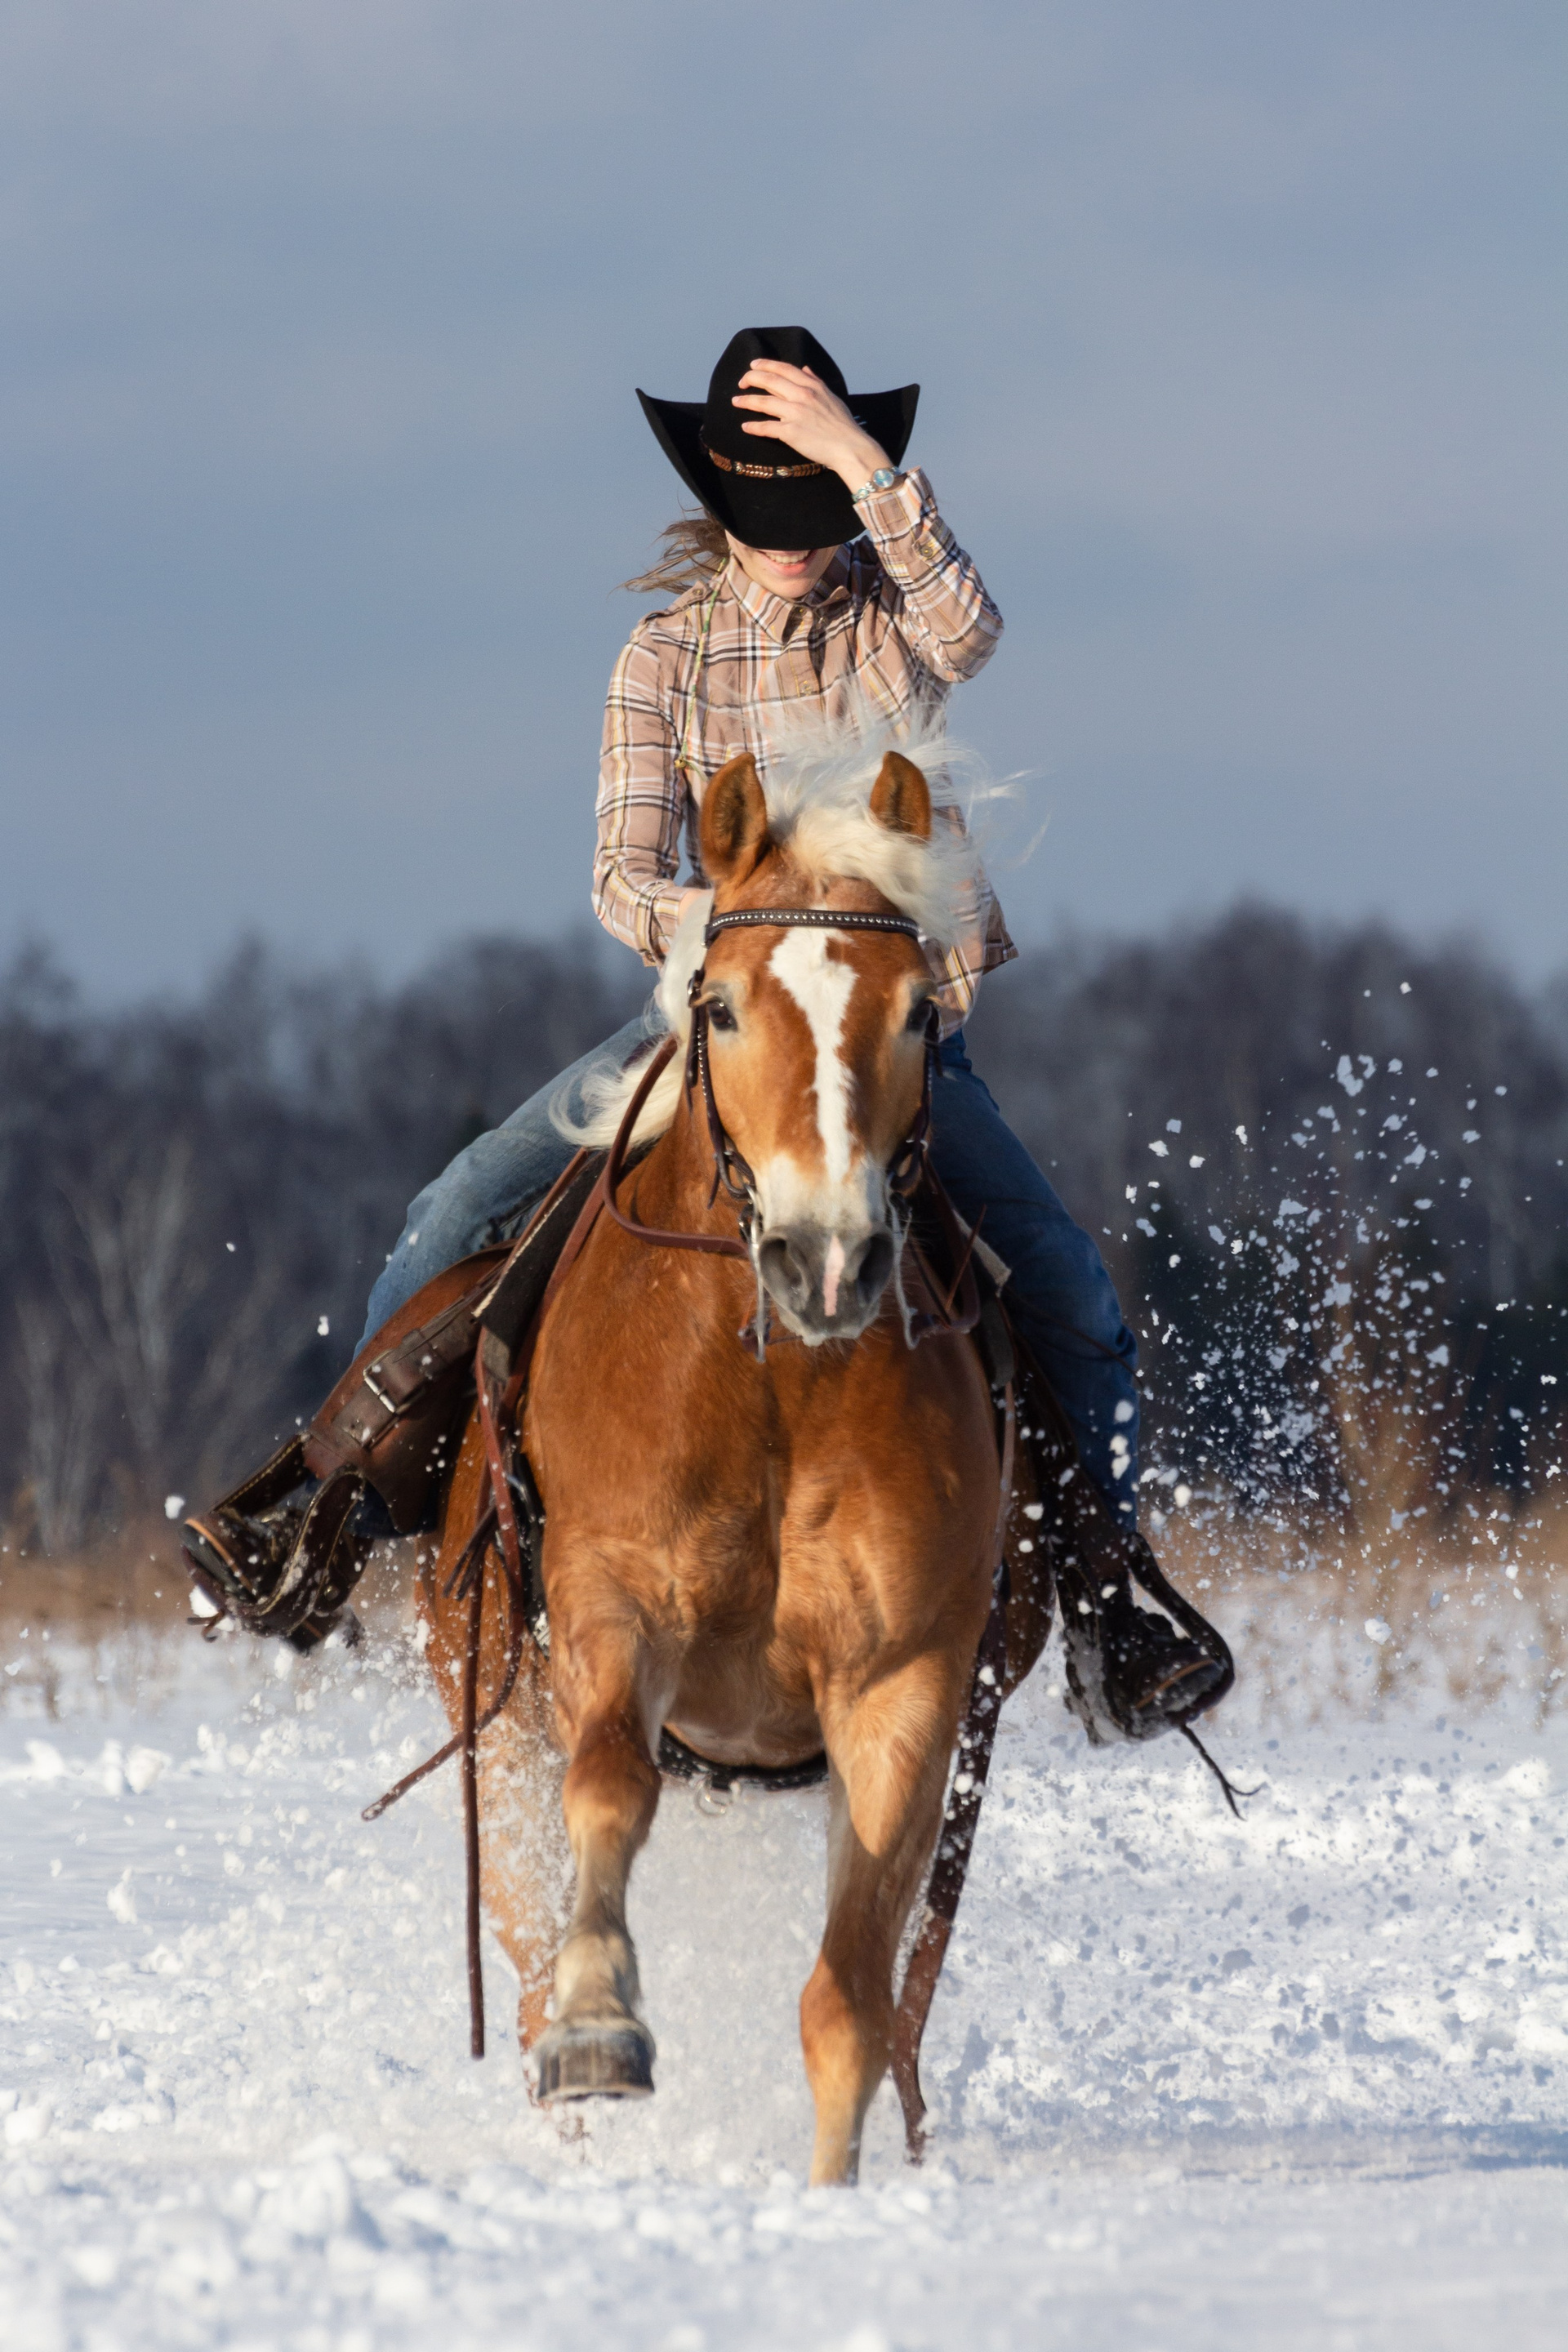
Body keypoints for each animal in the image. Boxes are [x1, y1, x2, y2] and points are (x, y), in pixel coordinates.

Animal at [416, 732, 1053, 2187]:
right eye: (718, 1009)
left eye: (918, 1014)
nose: (827, 1258)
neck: (770, 1387)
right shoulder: (612, 1607)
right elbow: (610, 1792)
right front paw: (602, 2028)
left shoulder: (903, 1685)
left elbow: (850, 2001)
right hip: (495, 1715)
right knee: (524, 1956)